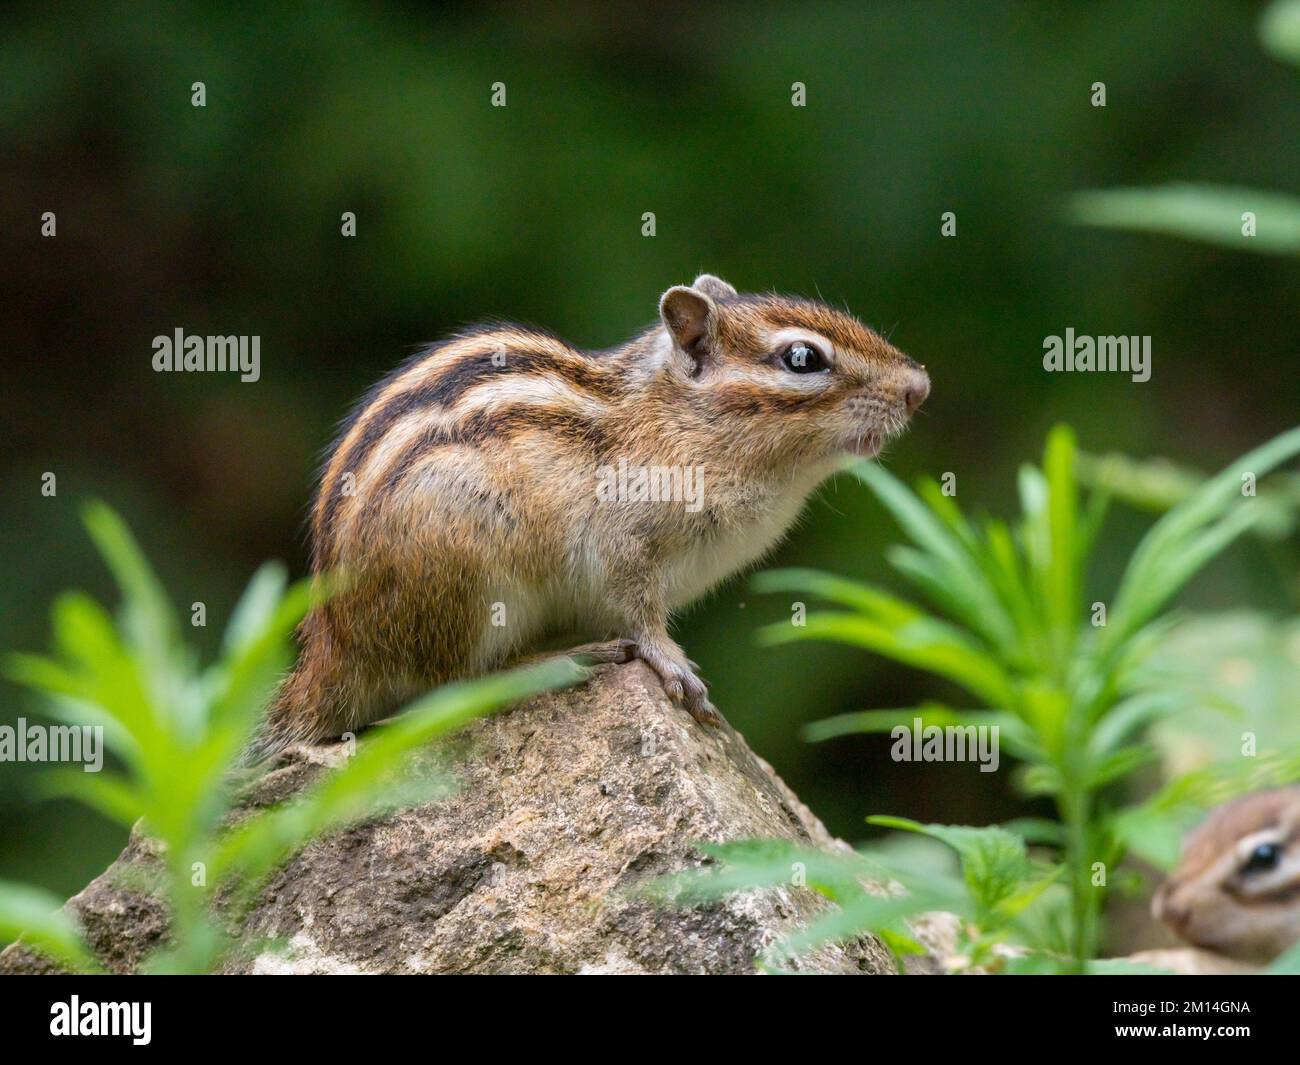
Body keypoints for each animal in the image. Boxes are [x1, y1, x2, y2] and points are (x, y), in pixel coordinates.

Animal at [248, 274, 930, 761]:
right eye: (802, 359)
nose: (919, 386)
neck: (680, 422)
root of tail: (332, 648)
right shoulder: (623, 542)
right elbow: (638, 608)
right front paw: (670, 663)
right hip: (469, 568)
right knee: (449, 687)